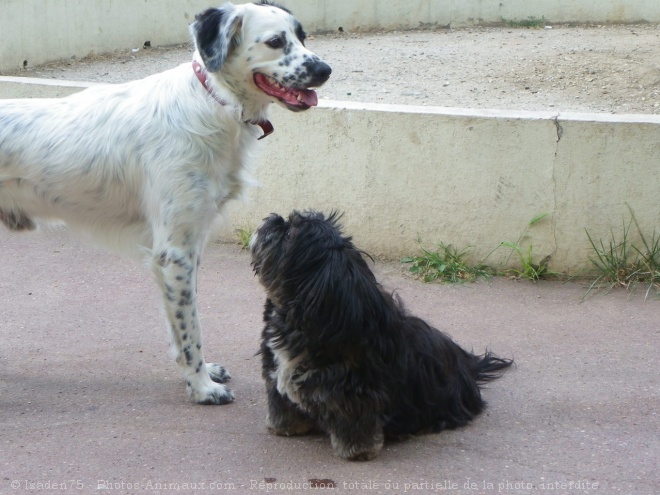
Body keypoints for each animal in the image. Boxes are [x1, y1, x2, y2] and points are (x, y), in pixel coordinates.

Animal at [0, 1, 330, 404]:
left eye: (302, 37)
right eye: (275, 42)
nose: (325, 70)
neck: (211, 103)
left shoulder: (187, 248)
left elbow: (179, 329)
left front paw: (201, 374)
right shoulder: (175, 253)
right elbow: (191, 331)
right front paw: (202, 387)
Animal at [250, 210, 512, 462]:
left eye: (289, 234)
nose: (274, 219)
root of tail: (465, 364)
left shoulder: (355, 393)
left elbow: (357, 423)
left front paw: (357, 450)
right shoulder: (275, 374)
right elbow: (282, 404)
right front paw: (285, 426)